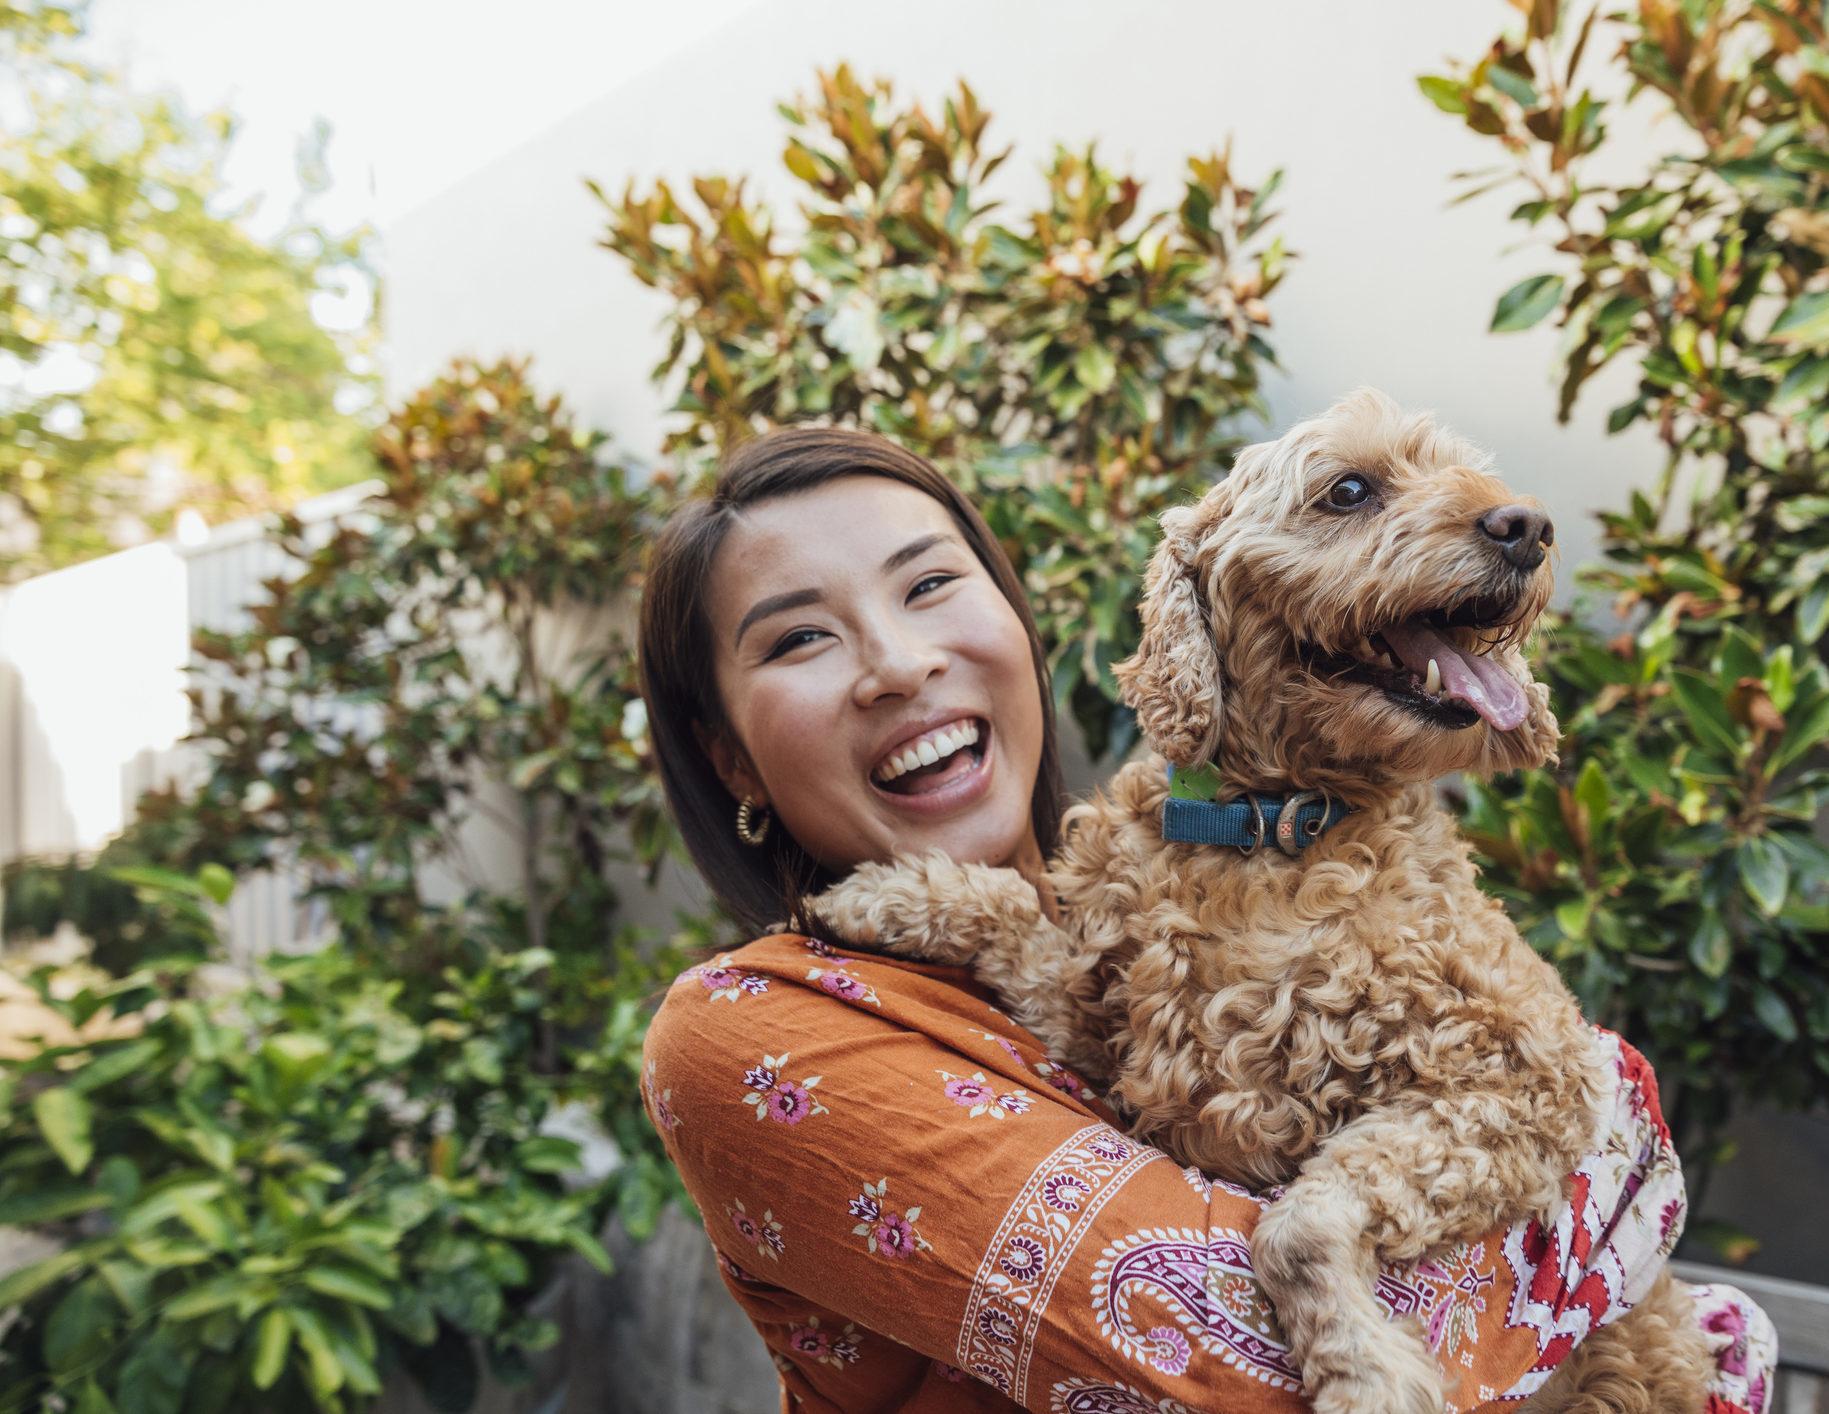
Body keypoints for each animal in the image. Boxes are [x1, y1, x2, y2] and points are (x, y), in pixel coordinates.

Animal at [815, 389, 1711, 1412]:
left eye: (1466, 474)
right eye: (1348, 490)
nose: (1525, 526)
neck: (1271, 827)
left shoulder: (1529, 1073)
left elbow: (1294, 1227)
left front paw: (1366, 1372)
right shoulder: (1099, 1028)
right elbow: (1008, 909)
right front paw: (877, 893)